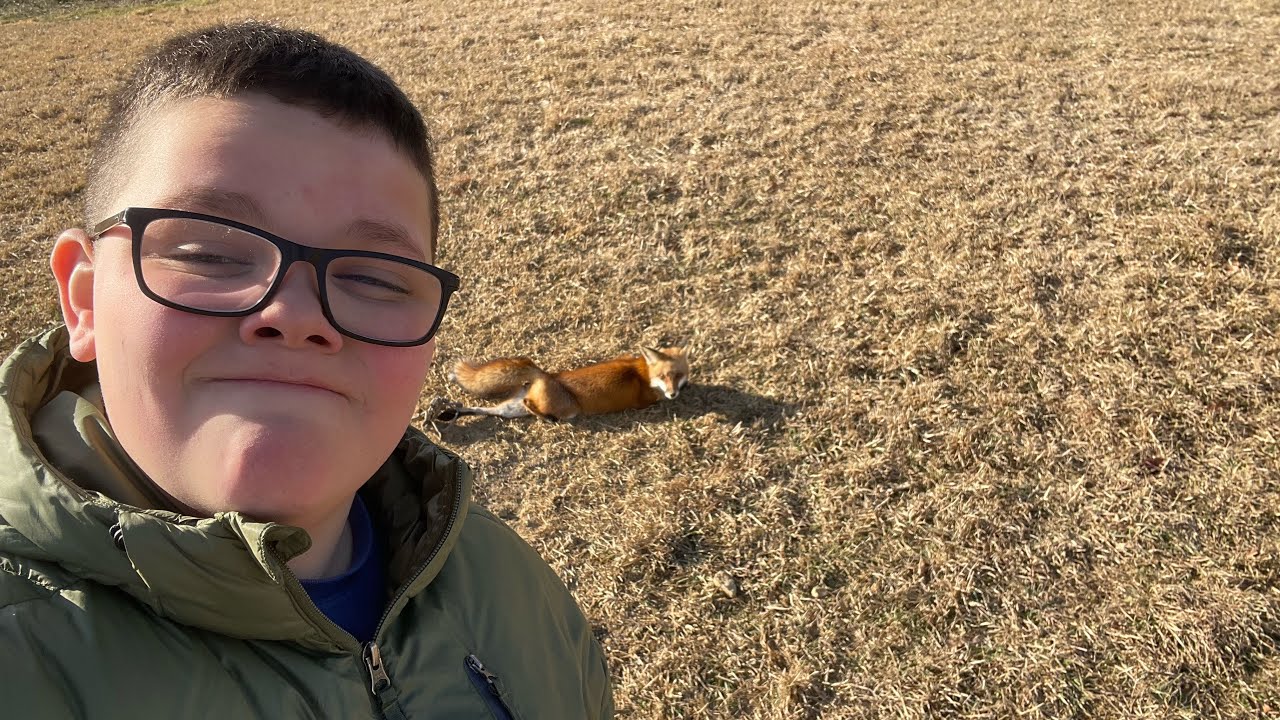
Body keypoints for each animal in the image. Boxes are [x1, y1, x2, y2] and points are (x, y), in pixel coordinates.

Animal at [436, 346, 690, 422]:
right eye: (664, 376)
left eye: (678, 375)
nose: (674, 394)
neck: (641, 372)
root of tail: (545, 375)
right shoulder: (648, 400)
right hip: (569, 410)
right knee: (531, 405)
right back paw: (548, 419)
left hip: (511, 408)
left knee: (491, 409)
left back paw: (454, 411)